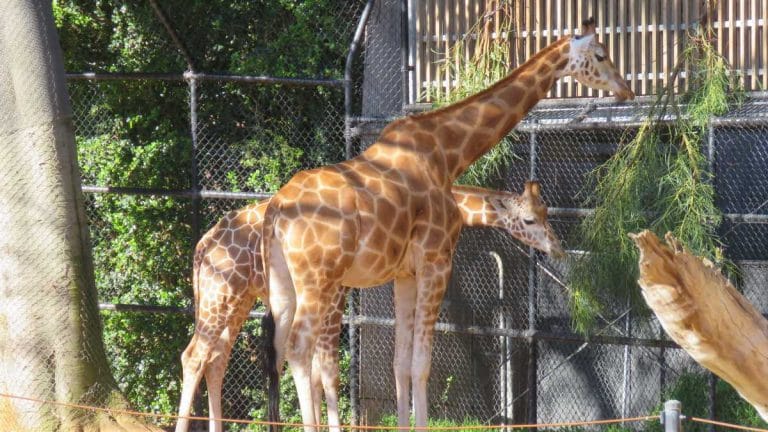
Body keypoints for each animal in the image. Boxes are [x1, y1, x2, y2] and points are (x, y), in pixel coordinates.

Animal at [174, 182, 562, 432]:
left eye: (545, 213)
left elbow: (321, 372)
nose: (556, 247)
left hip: (237, 299)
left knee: (216, 359)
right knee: (194, 355)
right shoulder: (336, 294)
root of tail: (203, 246)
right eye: (530, 219)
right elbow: (328, 371)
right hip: (221, 293)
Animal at [260, 16, 632, 432]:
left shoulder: (405, 274)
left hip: (284, 285)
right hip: (319, 281)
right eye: (600, 55)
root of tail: (276, 210)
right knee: (300, 349)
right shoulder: (437, 262)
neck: (446, 153)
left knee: (279, 352)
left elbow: (400, 363)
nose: (627, 89)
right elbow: (422, 364)